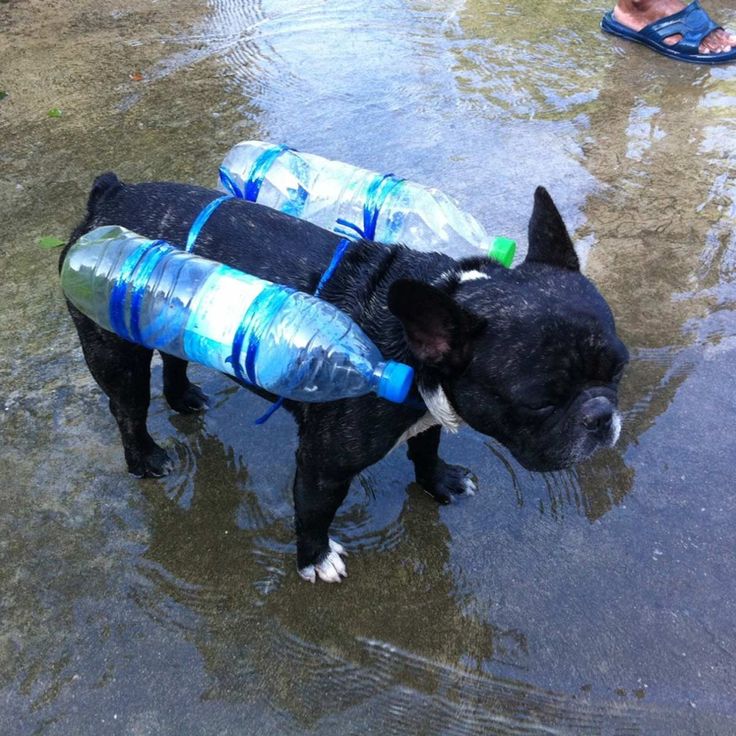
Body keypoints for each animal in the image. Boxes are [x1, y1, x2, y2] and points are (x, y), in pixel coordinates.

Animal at [60, 175, 628, 584]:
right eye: (539, 403)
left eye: (620, 368)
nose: (602, 416)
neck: (411, 350)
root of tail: (109, 195)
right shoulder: (324, 463)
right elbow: (315, 509)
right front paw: (313, 559)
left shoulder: (427, 415)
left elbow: (425, 449)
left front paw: (439, 481)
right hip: (114, 350)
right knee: (127, 406)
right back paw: (146, 458)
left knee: (174, 359)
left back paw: (183, 397)